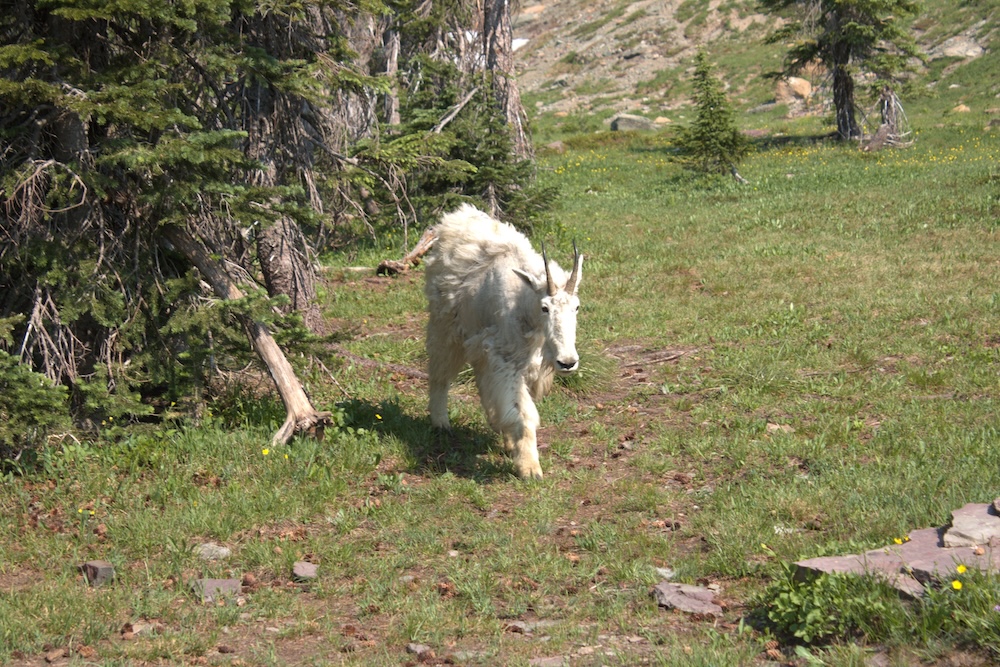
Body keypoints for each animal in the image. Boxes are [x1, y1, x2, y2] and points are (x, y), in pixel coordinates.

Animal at [424, 205, 584, 480]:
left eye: (576, 307)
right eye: (545, 307)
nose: (567, 362)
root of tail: (454, 217)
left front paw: (515, 447)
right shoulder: (505, 360)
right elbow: (521, 412)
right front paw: (530, 468)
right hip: (446, 326)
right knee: (440, 372)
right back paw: (441, 422)